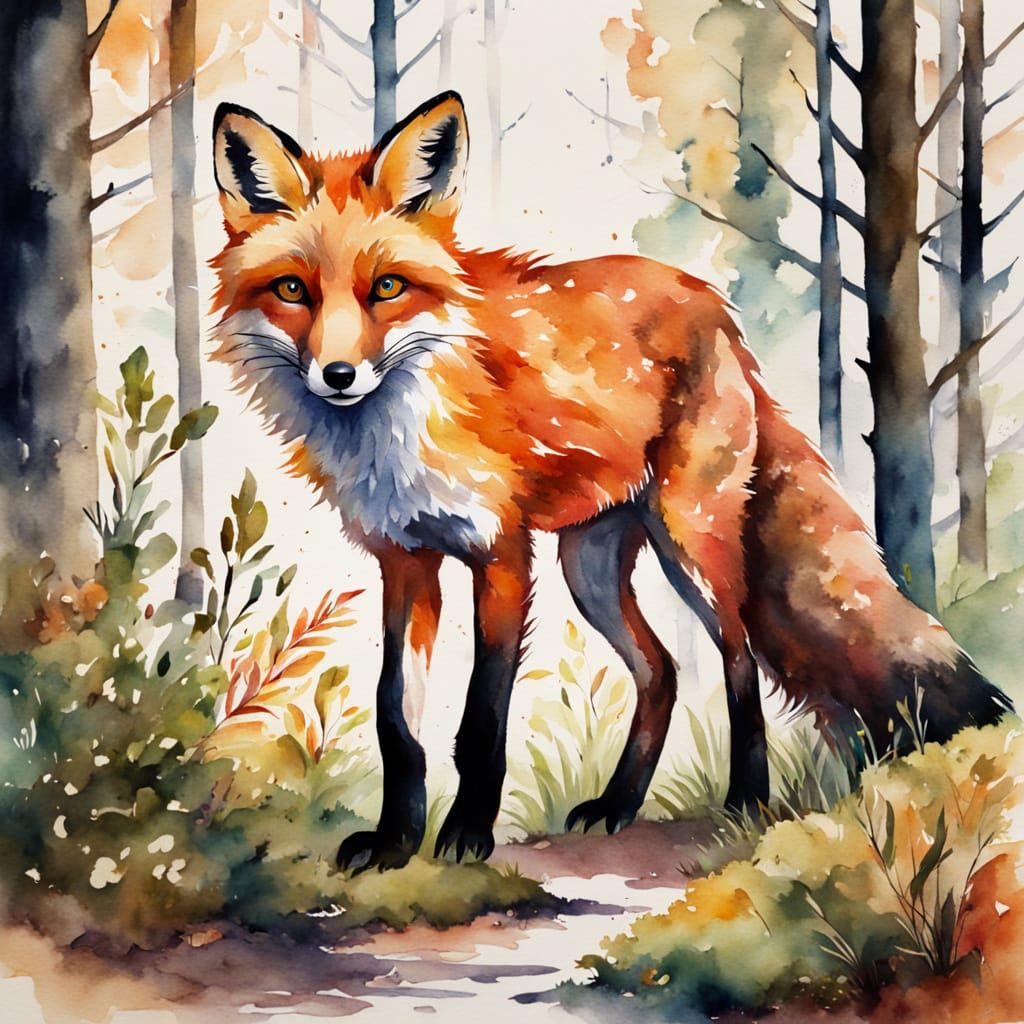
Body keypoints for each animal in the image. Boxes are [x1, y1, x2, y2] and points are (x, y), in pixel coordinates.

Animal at [209, 91, 1011, 872]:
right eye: (292, 290)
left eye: (387, 288)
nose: (338, 374)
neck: (400, 431)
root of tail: (716, 309)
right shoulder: (405, 559)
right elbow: (396, 718)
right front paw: (394, 843)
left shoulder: (502, 553)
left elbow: (481, 719)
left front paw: (465, 836)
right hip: (588, 564)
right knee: (661, 671)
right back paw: (618, 805)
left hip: (691, 544)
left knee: (739, 660)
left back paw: (746, 801)